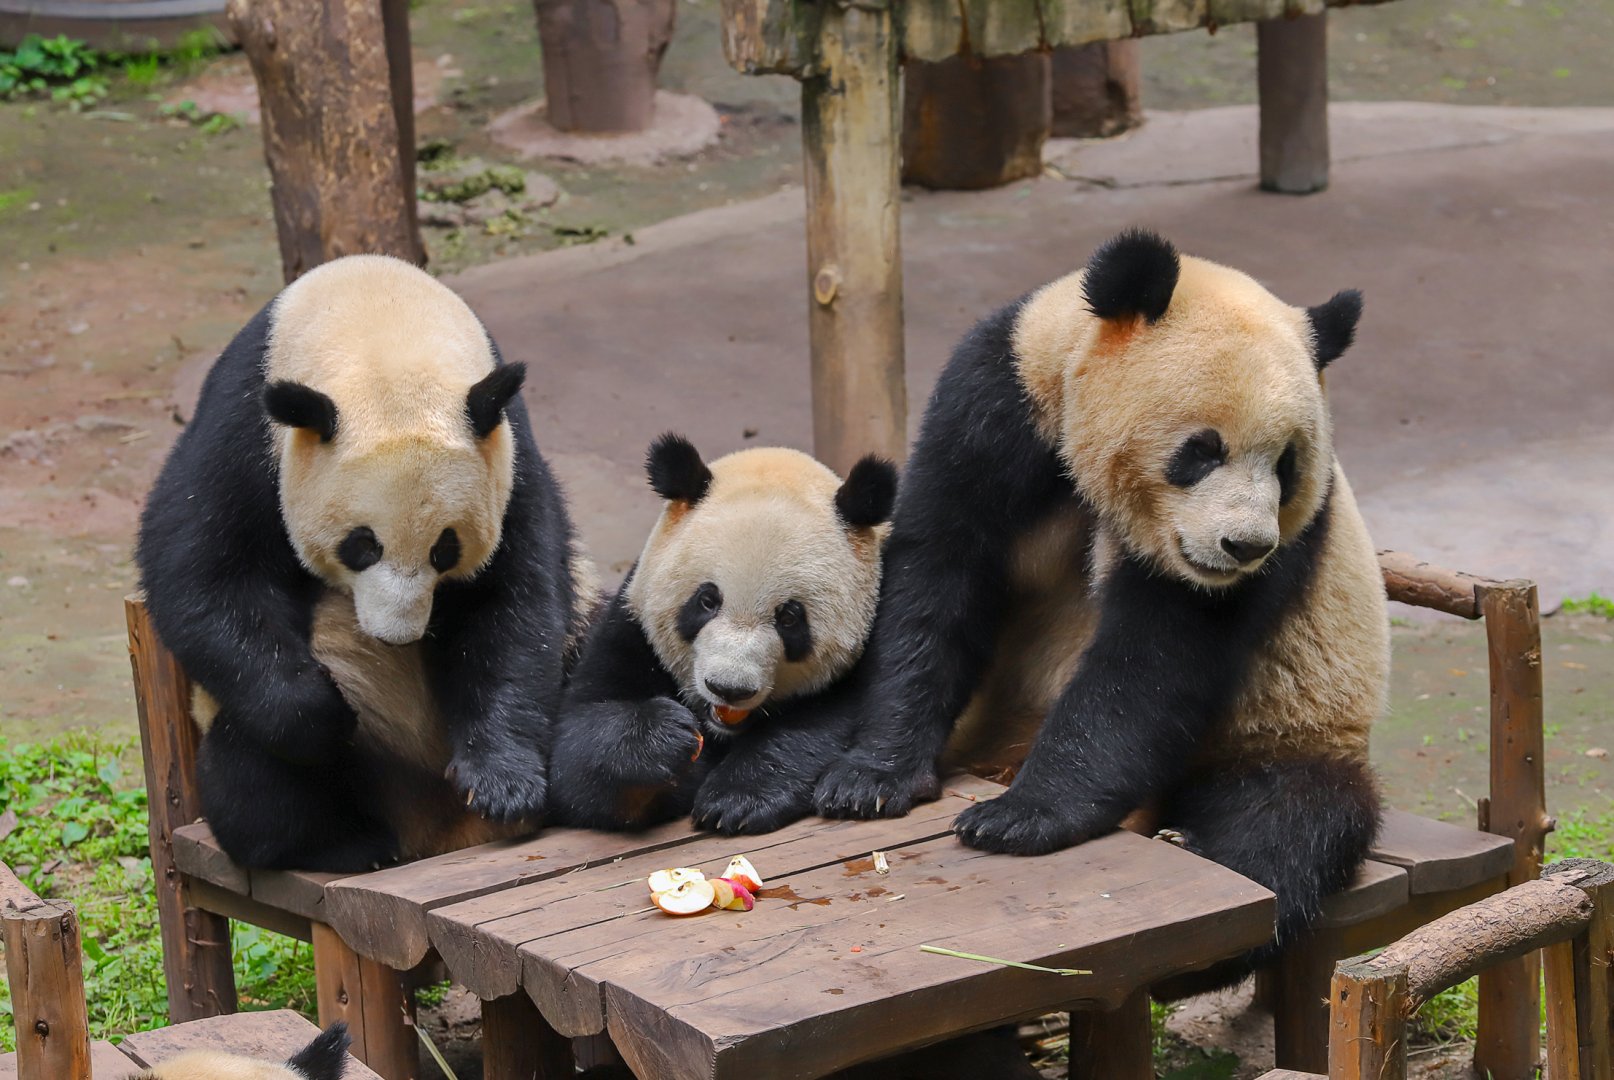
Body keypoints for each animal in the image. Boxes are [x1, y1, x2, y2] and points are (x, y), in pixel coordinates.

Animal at [137, 255, 593, 873]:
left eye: (445, 549)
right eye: (362, 545)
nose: (396, 637)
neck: (378, 321)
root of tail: (430, 834)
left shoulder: (507, 450)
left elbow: (515, 600)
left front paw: (504, 783)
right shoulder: (246, 427)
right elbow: (203, 571)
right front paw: (323, 716)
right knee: (250, 773)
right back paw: (340, 843)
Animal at [548, 435, 896, 836]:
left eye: (789, 617)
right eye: (707, 600)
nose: (729, 689)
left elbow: (822, 728)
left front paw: (736, 800)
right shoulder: (631, 628)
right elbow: (578, 750)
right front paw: (664, 738)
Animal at [811, 229, 1389, 989]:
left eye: (1287, 465)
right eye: (1202, 450)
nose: (1244, 546)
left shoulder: (1287, 539)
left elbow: (1153, 656)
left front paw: (1019, 817)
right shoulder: (1000, 400)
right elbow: (940, 570)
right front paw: (870, 779)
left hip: (1293, 727)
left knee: (1287, 823)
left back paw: (1194, 858)